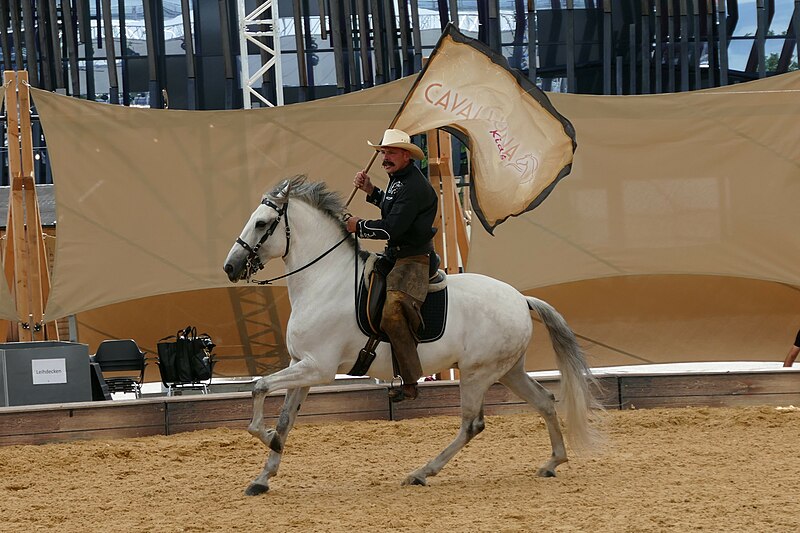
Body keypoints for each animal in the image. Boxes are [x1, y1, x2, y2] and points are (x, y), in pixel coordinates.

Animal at [222, 176, 596, 494]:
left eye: (260, 223)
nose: (230, 266)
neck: (324, 280)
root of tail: (520, 298)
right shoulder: (301, 365)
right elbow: (285, 418)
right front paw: (263, 476)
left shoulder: (319, 368)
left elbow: (259, 387)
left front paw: (266, 437)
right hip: (508, 371)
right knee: (544, 401)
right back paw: (552, 462)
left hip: (477, 373)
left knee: (472, 425)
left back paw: (421, 472)